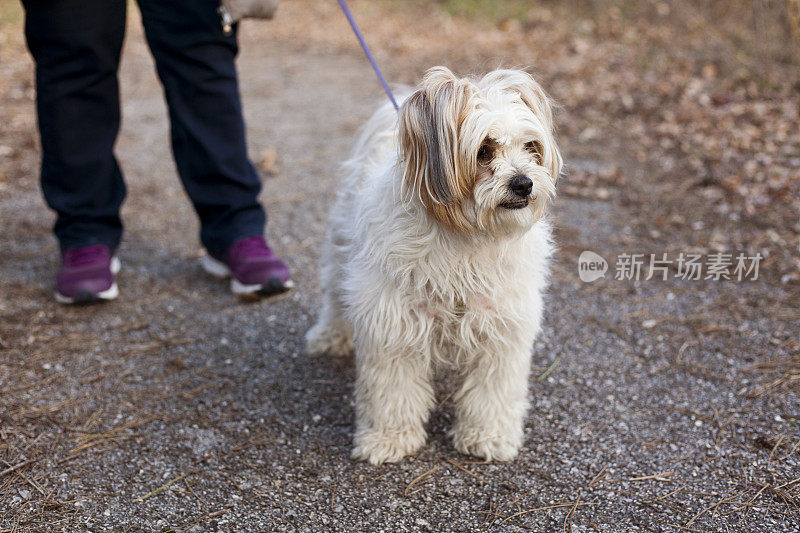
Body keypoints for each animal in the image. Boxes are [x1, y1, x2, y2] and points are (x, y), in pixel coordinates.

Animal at [306, 66, 564, 464]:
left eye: (531, 148)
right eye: (484, 150)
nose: (524, 183)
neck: (467, 236)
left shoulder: (502, 329)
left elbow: (493, 392)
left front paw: (488, 436)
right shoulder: (394, 326)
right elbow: (392, 392)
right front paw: (389, 438)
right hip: (341, 256)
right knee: (336, 298)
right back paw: (329, 336)